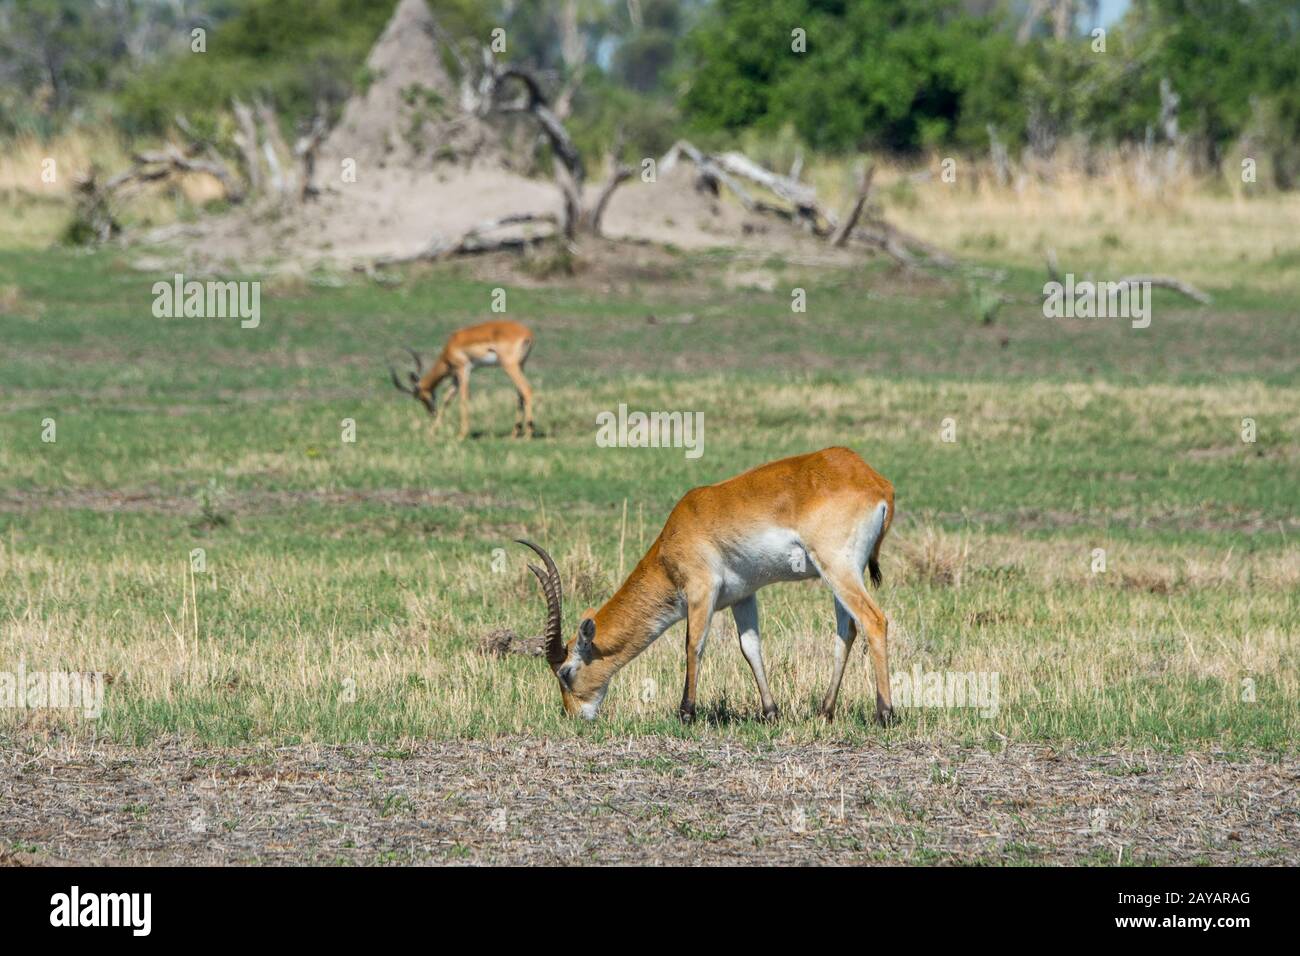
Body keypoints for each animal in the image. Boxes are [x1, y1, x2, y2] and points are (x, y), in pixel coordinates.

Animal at [395, 321, 538, 442]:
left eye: (419, 396)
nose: (432, 412)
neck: (451, 346)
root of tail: (527, 333)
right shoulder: (456, 378)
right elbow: (447, 399)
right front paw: (432, 432)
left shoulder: (463, 370)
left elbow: (463, 399)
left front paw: (461, 435)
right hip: (520, 365)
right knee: (520, 395)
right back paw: (514, 434)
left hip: (510, 366)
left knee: (527, 390)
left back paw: (528, 436)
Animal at [514, 447, 894, 723]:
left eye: (565, 672)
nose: (574, 716)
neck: (678, 531)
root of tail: (876, 482)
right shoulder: (744, 595)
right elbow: (750, 647)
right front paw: (770, 713)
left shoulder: (701, 591)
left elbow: (693, 645)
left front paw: (686, 713)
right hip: (839, 575)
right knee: (847, 630)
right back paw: (825, 711)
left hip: (838, 568)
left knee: (874, 620)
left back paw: (885, 714)